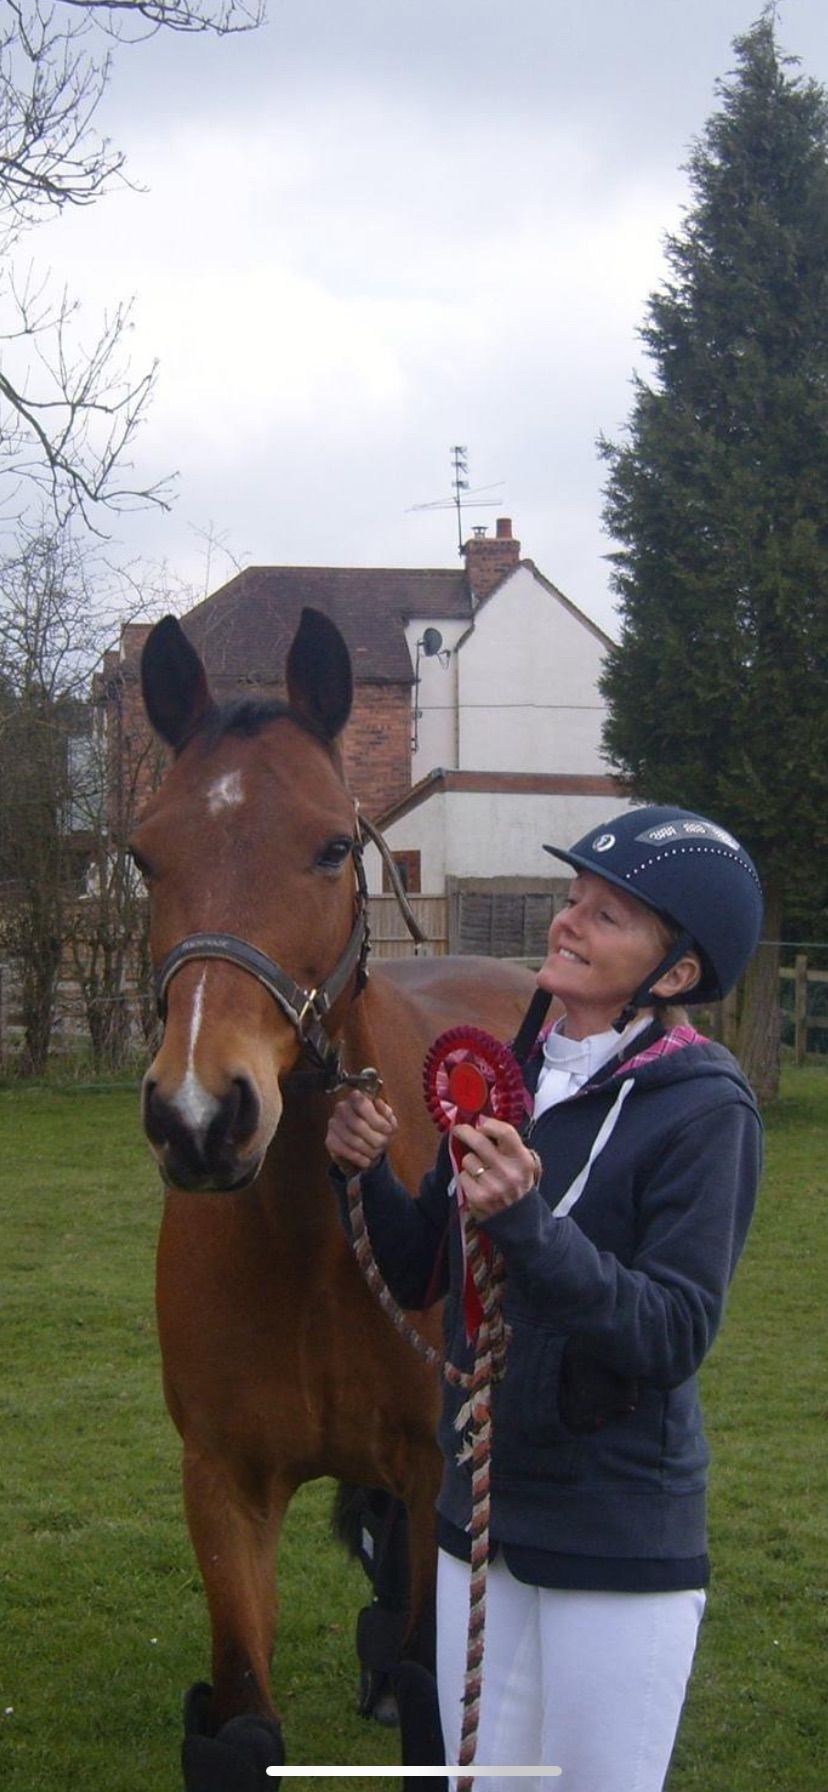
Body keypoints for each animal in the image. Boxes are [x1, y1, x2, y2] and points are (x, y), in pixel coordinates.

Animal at [132, 609, 534, 1784]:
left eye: (327, 846)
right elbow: (245, 1719)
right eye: (142, 854)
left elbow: (431, 1700)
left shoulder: (431, 1466)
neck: (311, 1241)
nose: (199, 1115)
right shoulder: (224, 1482)